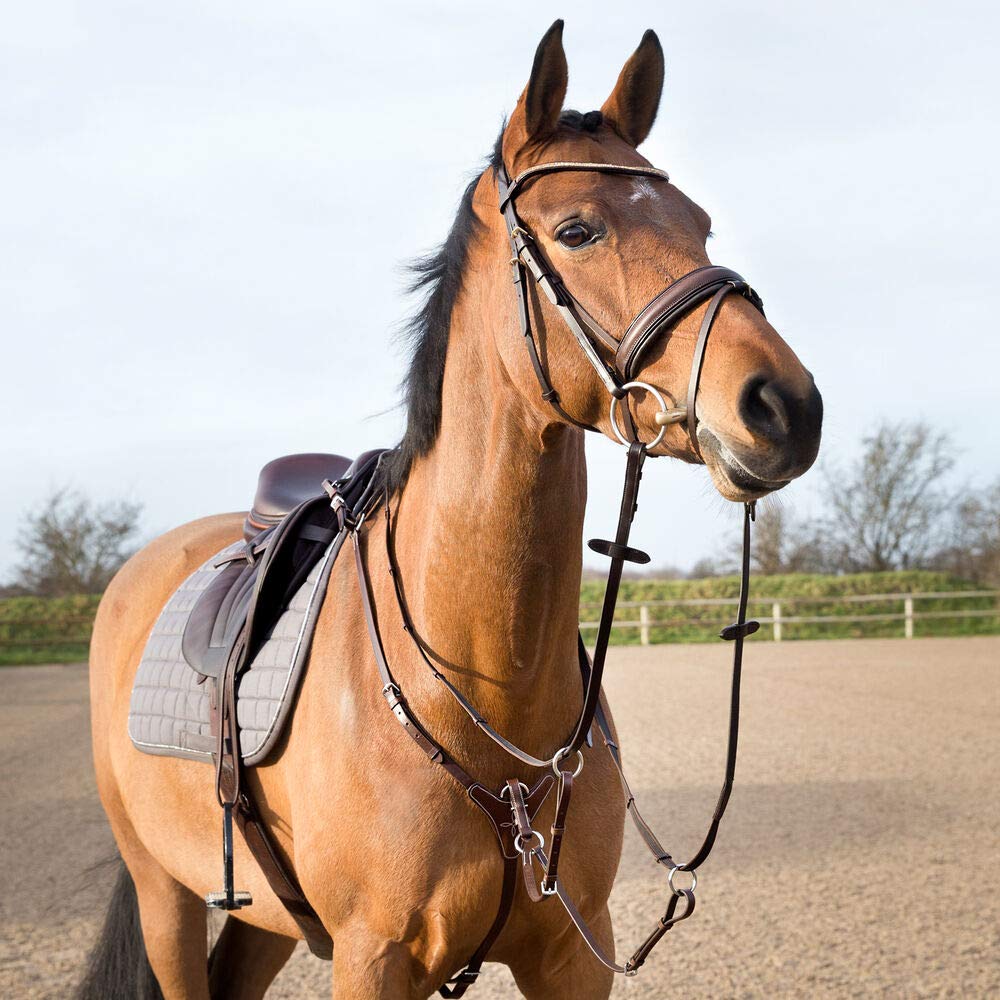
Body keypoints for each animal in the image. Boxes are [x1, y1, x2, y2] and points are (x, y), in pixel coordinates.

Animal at [83, 21, 822, 1000]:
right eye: (578, 229)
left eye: (699, 223)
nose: (785, 406)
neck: (489, 707)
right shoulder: (374, 958)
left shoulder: (571, 956)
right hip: (164, 892)